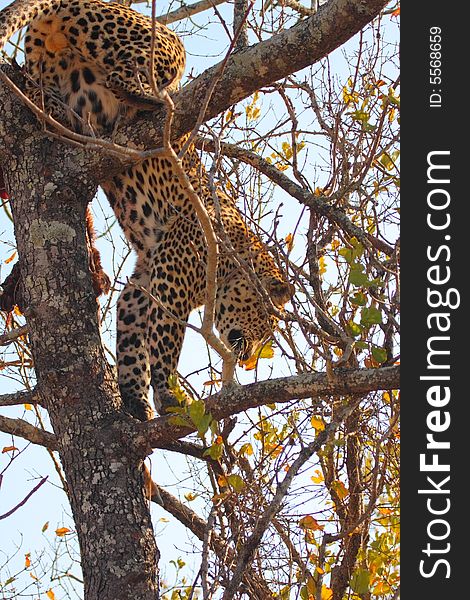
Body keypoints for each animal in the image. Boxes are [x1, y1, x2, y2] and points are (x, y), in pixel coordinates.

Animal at [0, 0, 294, 422]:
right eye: (264, 325)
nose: (249, 360)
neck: (234, 254)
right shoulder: (172, 277)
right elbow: (167, 341)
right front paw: (170, 396)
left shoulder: (145, 280)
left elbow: (131, 340)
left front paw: (135, 402)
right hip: (153, 40)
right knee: (127, 73)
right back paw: (151, 101)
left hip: (49, 63)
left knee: (48, 94)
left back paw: (57, 109)